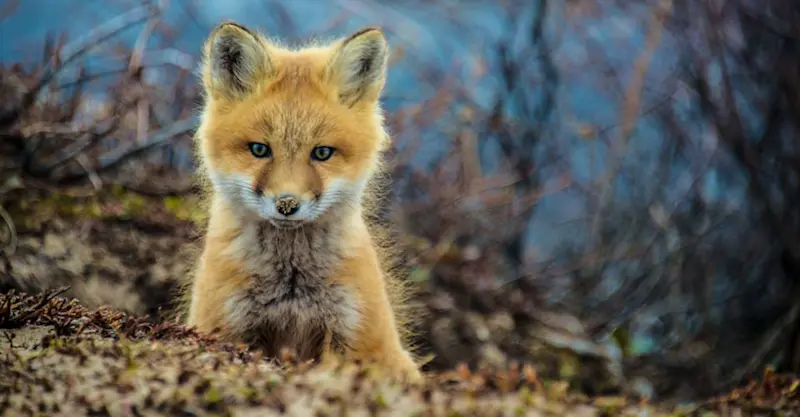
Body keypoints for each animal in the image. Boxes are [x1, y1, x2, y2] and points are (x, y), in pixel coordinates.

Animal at [183, 20, 422, 383]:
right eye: (259, 149)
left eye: (322, 153)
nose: (286, 204)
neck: (292, 287)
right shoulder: (224, 326)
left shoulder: (357, 336)